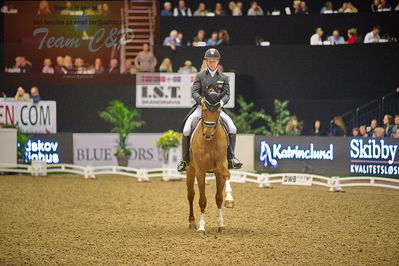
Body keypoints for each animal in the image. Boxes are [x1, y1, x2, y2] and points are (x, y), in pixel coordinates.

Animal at [187, 95, 234, 235]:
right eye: (204, 109)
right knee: (190, 195)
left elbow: (219, 197)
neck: (210, 142)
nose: (207, 134)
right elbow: (202, 200)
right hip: (190, 170)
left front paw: (222, 223)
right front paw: (202, 227)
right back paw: (192, 222)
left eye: (218, 111)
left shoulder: (221, 167)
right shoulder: (200, 171)